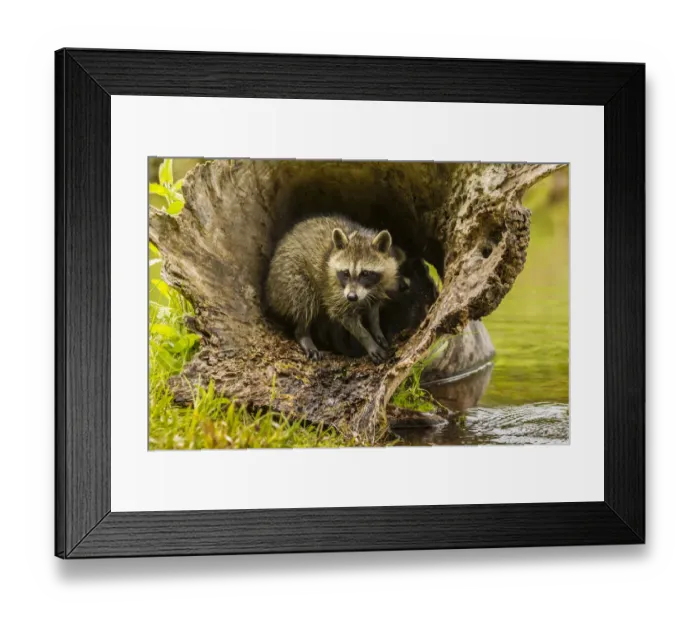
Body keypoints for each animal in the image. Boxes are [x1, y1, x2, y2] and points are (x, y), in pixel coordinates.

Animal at [265, 215, 401, 363]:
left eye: (365, 273)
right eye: (346, 273)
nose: (351, 297)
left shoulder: (383, 282)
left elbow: (374, 310)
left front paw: (376, 329)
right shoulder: (335, 290)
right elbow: (345, 316)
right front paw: (368, 341)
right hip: (290, 275)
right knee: (305, 300)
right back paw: (303, 334)